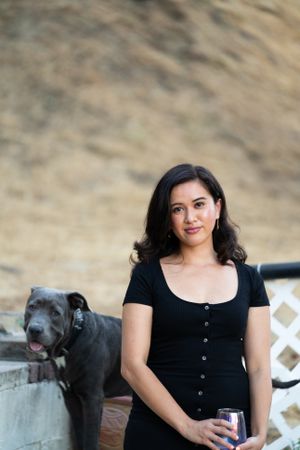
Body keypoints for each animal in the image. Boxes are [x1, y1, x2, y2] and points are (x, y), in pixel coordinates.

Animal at [23, 286, 131, 450]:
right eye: (32, 307)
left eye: (55, 313)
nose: (35, 329)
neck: (73, 339)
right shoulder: (71, 398)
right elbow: (81, 433)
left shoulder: (93, 399)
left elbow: (91, 438)